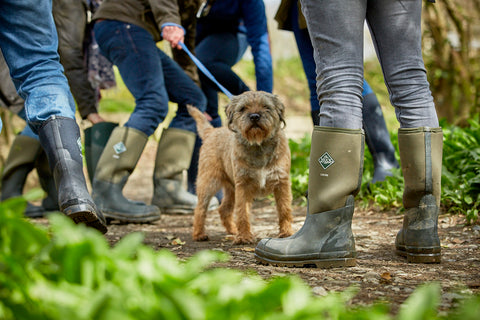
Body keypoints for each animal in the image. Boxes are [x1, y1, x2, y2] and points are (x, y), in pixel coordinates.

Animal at [187, 91, 292, 244]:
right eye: (243, 109)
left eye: (266, 107)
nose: (254, 116)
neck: (258, 145)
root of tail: (211, 131)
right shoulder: (243, 186)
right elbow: (242, 213)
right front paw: (244, 237)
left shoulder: (281, 183)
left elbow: (284, 209)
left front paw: (286, 233)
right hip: (208, 183)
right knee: (200, 209)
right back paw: (199, 234)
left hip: (231, 188)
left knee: (224, 209)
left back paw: (233, 230)